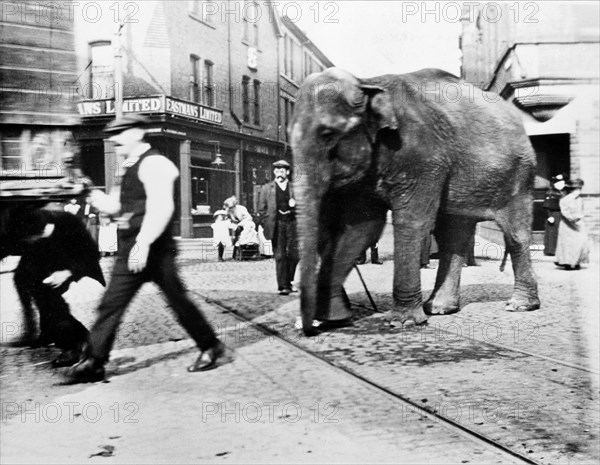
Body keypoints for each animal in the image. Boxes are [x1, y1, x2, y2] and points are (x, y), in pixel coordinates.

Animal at [288, 66, 540, 334]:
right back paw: (439, 308)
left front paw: (402, 322)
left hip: (520, 174)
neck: (367, 83)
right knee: (454, 234)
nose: (308, 329)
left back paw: (519, 306)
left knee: (515, 234)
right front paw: (332, 319)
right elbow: (360, 229)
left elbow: (412, 221)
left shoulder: (424, 157)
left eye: (327, 134)